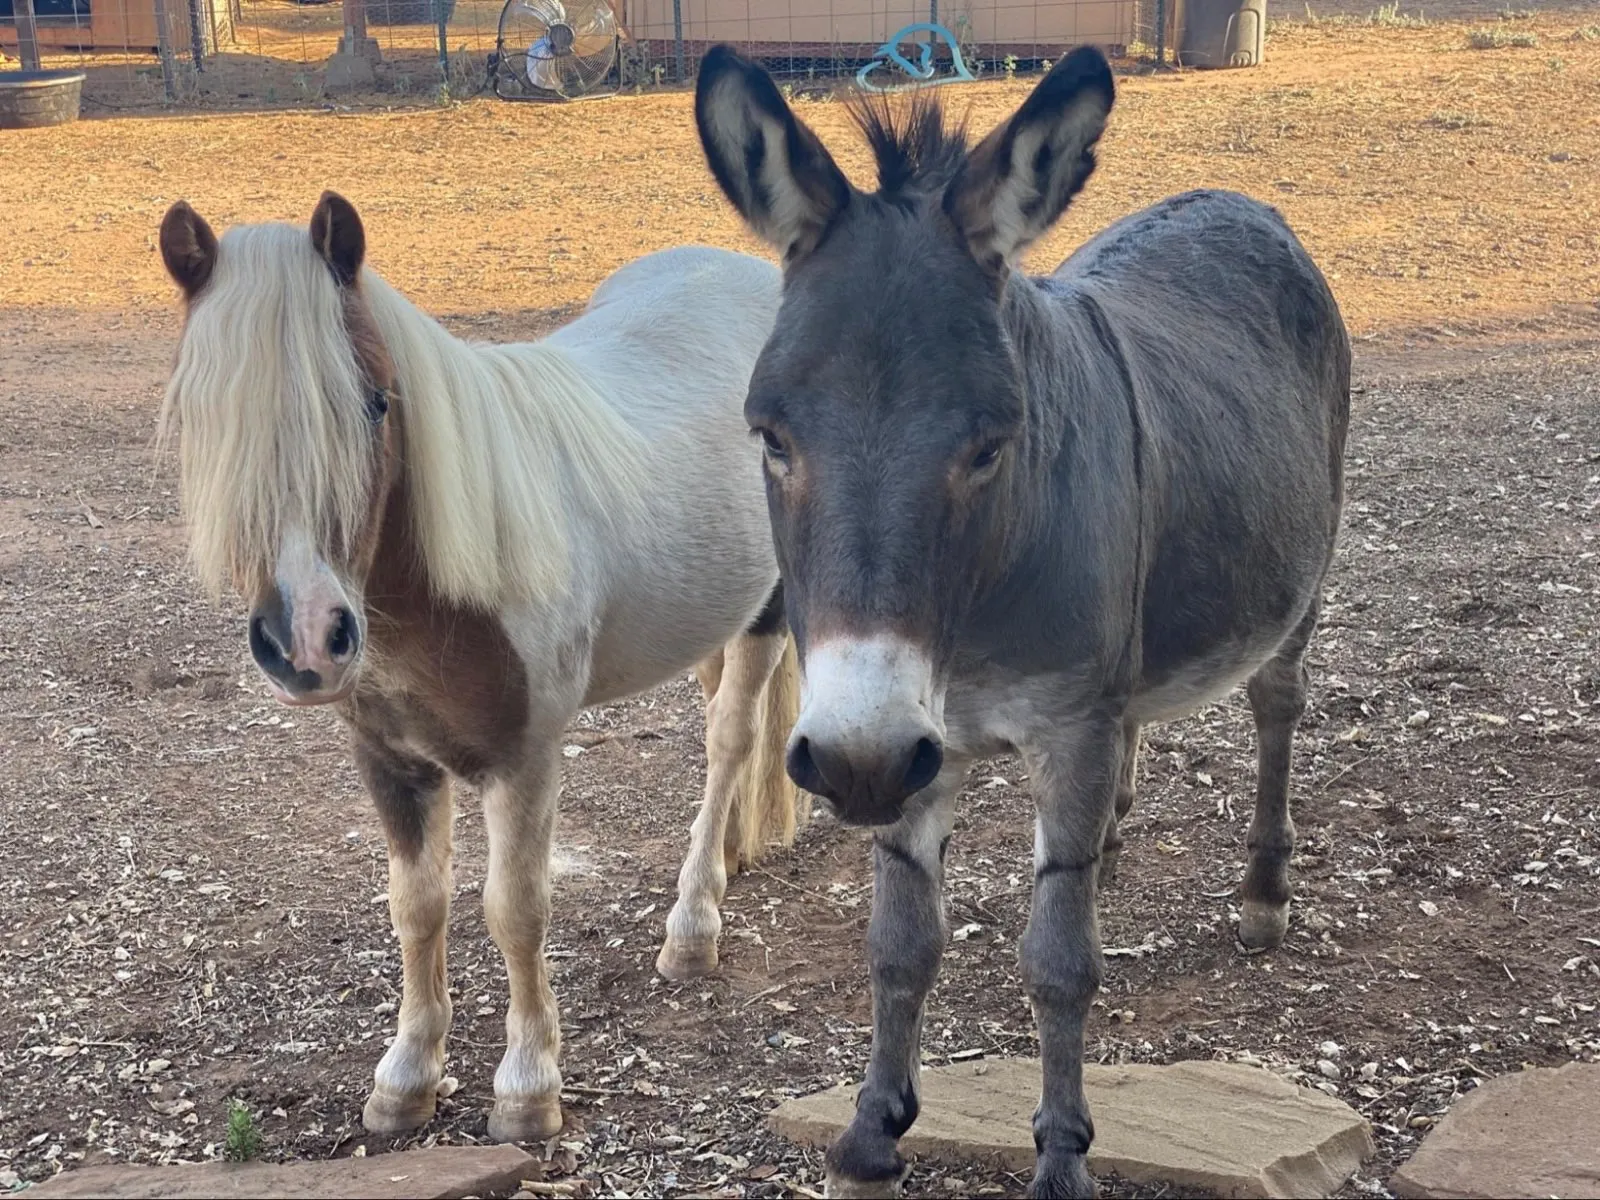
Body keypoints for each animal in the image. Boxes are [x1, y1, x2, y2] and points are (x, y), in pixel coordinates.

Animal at [156, 192, 807, 1143]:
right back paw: (728, 858)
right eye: (209, 419)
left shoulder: (524, 758)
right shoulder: (389, 762)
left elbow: (514, 909)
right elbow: (417, 905)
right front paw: (406, 1076)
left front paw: (529, 1090)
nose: (310, 640)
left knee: (730, 739)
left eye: (374, 403)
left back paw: (692, 927)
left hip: (768, 609)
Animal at [695, 45, 1350, 1198]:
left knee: (1278, 708)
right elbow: (900, 942)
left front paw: (1061, 1158)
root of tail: (1236, 199)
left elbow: (1057, 962)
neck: (976, 614)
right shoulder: (917, 742)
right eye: (770, 436)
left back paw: (1263, 892)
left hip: (1298, 585)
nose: (852, 760)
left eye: (991, 445)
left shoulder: (1045, 725)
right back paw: (1117, 841)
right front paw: (871, 1134)